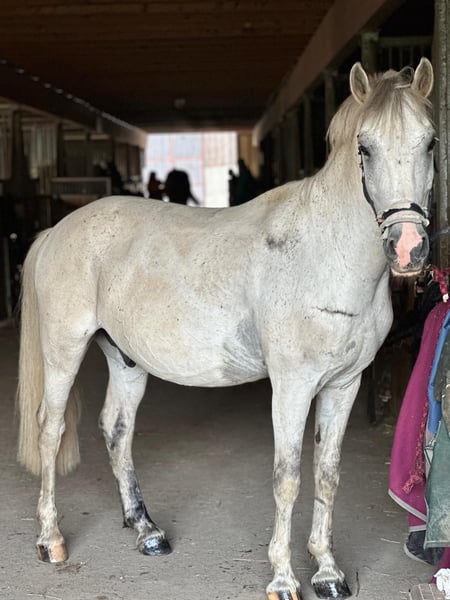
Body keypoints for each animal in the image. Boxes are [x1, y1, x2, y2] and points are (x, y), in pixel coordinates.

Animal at [17, 58, 435, 600]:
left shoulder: (344, 385)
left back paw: (147, 530)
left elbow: (327, 474)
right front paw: (283, 579)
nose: (408, 249)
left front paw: (327, 572)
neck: (325, 255)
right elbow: (287, 478)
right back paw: (51, 539)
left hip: (125, 360)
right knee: (51, 429)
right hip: (64, 348)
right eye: (365, 147)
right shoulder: (292, 387)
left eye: (430, 143)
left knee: (116, 429)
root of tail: (57, 230)